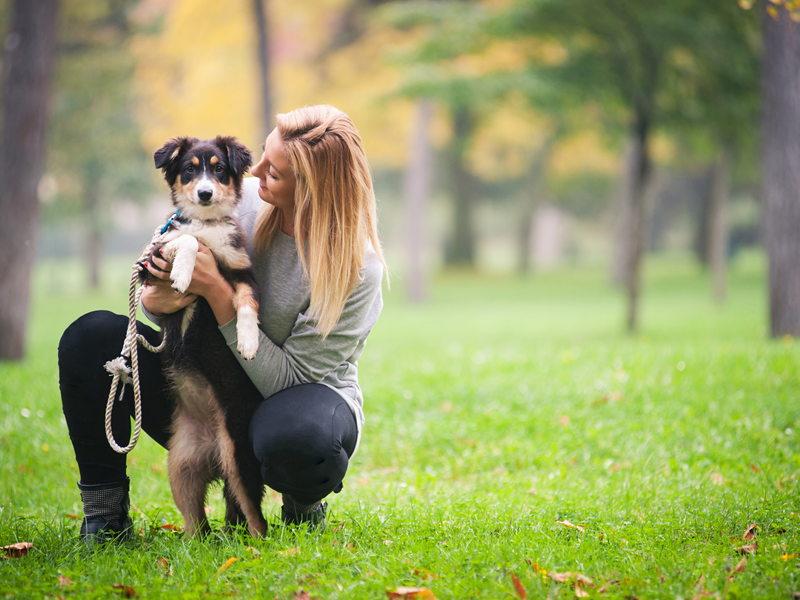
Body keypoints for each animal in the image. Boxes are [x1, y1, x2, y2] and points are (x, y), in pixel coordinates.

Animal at [141, 137, 268, 540]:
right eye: (189, 170)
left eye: (219, 170)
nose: (206, 193)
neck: (206, 222)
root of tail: (214, 452)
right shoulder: (152, 261)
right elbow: (186, 240)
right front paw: (183, 273)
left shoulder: (242, 272)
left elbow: (247, 304)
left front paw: (248, 342)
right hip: (180, 468)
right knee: (197, 525)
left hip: (240, 458)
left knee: (256, 519)